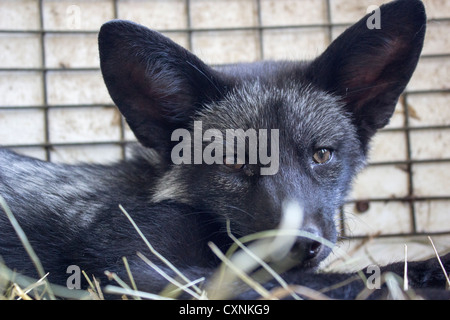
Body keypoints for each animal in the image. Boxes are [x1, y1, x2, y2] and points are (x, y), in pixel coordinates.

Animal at [0, 0, 450, 300]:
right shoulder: (135, 267)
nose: (301, 243)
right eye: (233, 163)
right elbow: (316, 280)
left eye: (322, 155)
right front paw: (424, 272)